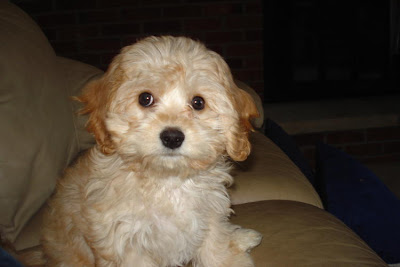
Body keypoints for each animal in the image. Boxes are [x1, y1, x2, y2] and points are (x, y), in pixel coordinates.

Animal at [41, 36, 262, 267]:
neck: (167, 180)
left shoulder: (209, 216)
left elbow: (217, 250)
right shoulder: (125, 241)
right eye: (145, 98)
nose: (172, 137)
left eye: (198, 102)